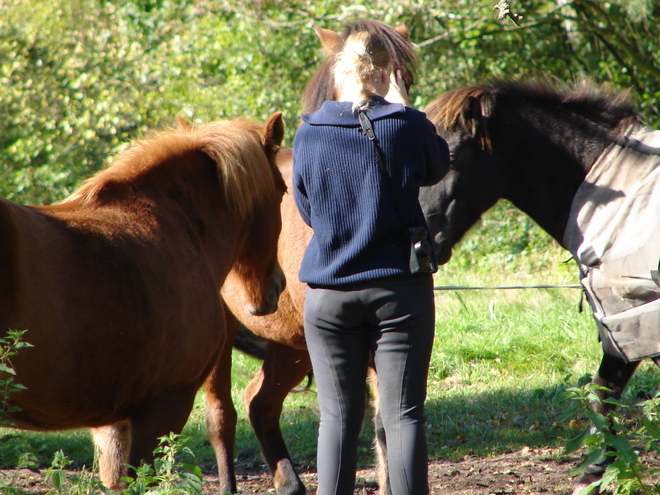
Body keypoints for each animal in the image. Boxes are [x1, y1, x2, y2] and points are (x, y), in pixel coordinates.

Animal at [420, 79, 656, 494]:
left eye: (447, 155)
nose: (416, 244)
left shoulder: (631, 319)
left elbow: (602, 398)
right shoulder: (625, 325)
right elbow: (601, 397)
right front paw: (597, 471)